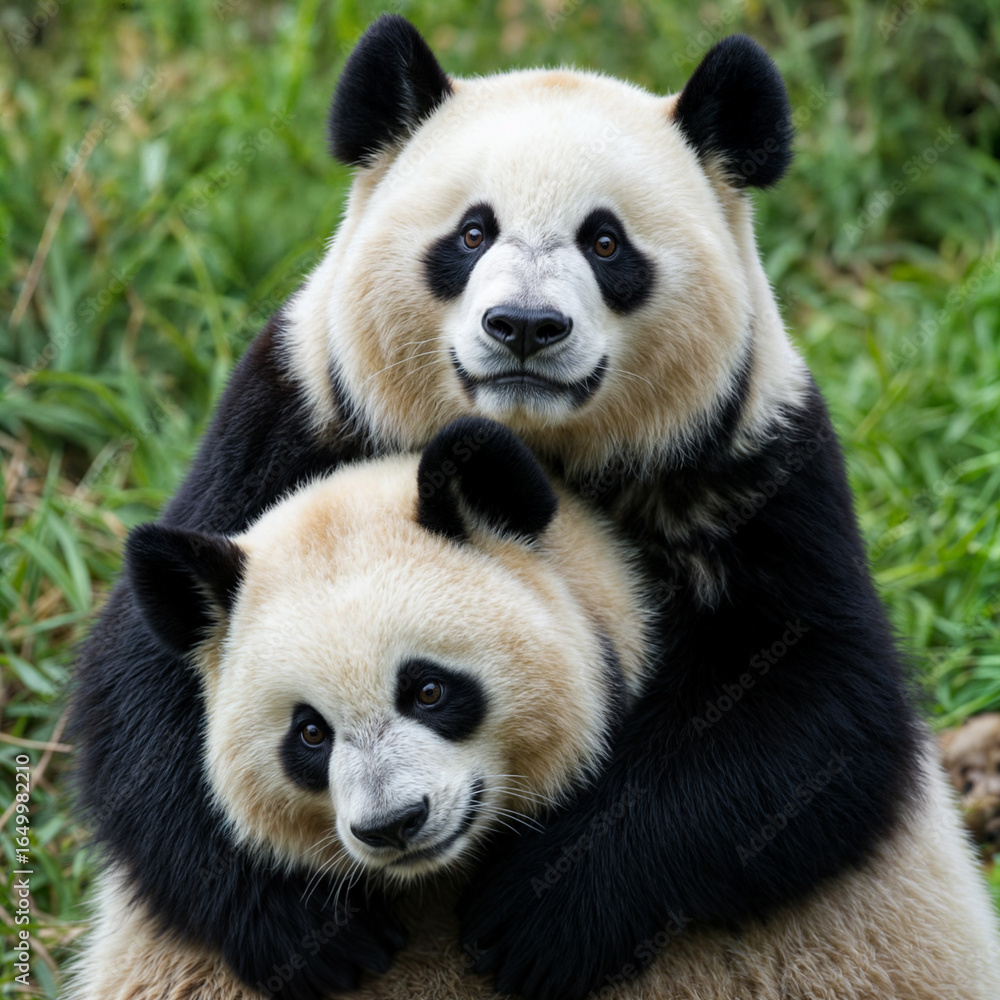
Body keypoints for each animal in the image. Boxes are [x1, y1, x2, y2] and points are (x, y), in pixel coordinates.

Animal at [68, 14, 1000, 1000]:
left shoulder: (760, 462)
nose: (523, 327)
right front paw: (314, 929)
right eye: (473, 233)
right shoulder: (287, 417)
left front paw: (543, 915)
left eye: (606, 243)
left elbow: (818, 710)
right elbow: (142, 687)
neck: (532, 445)